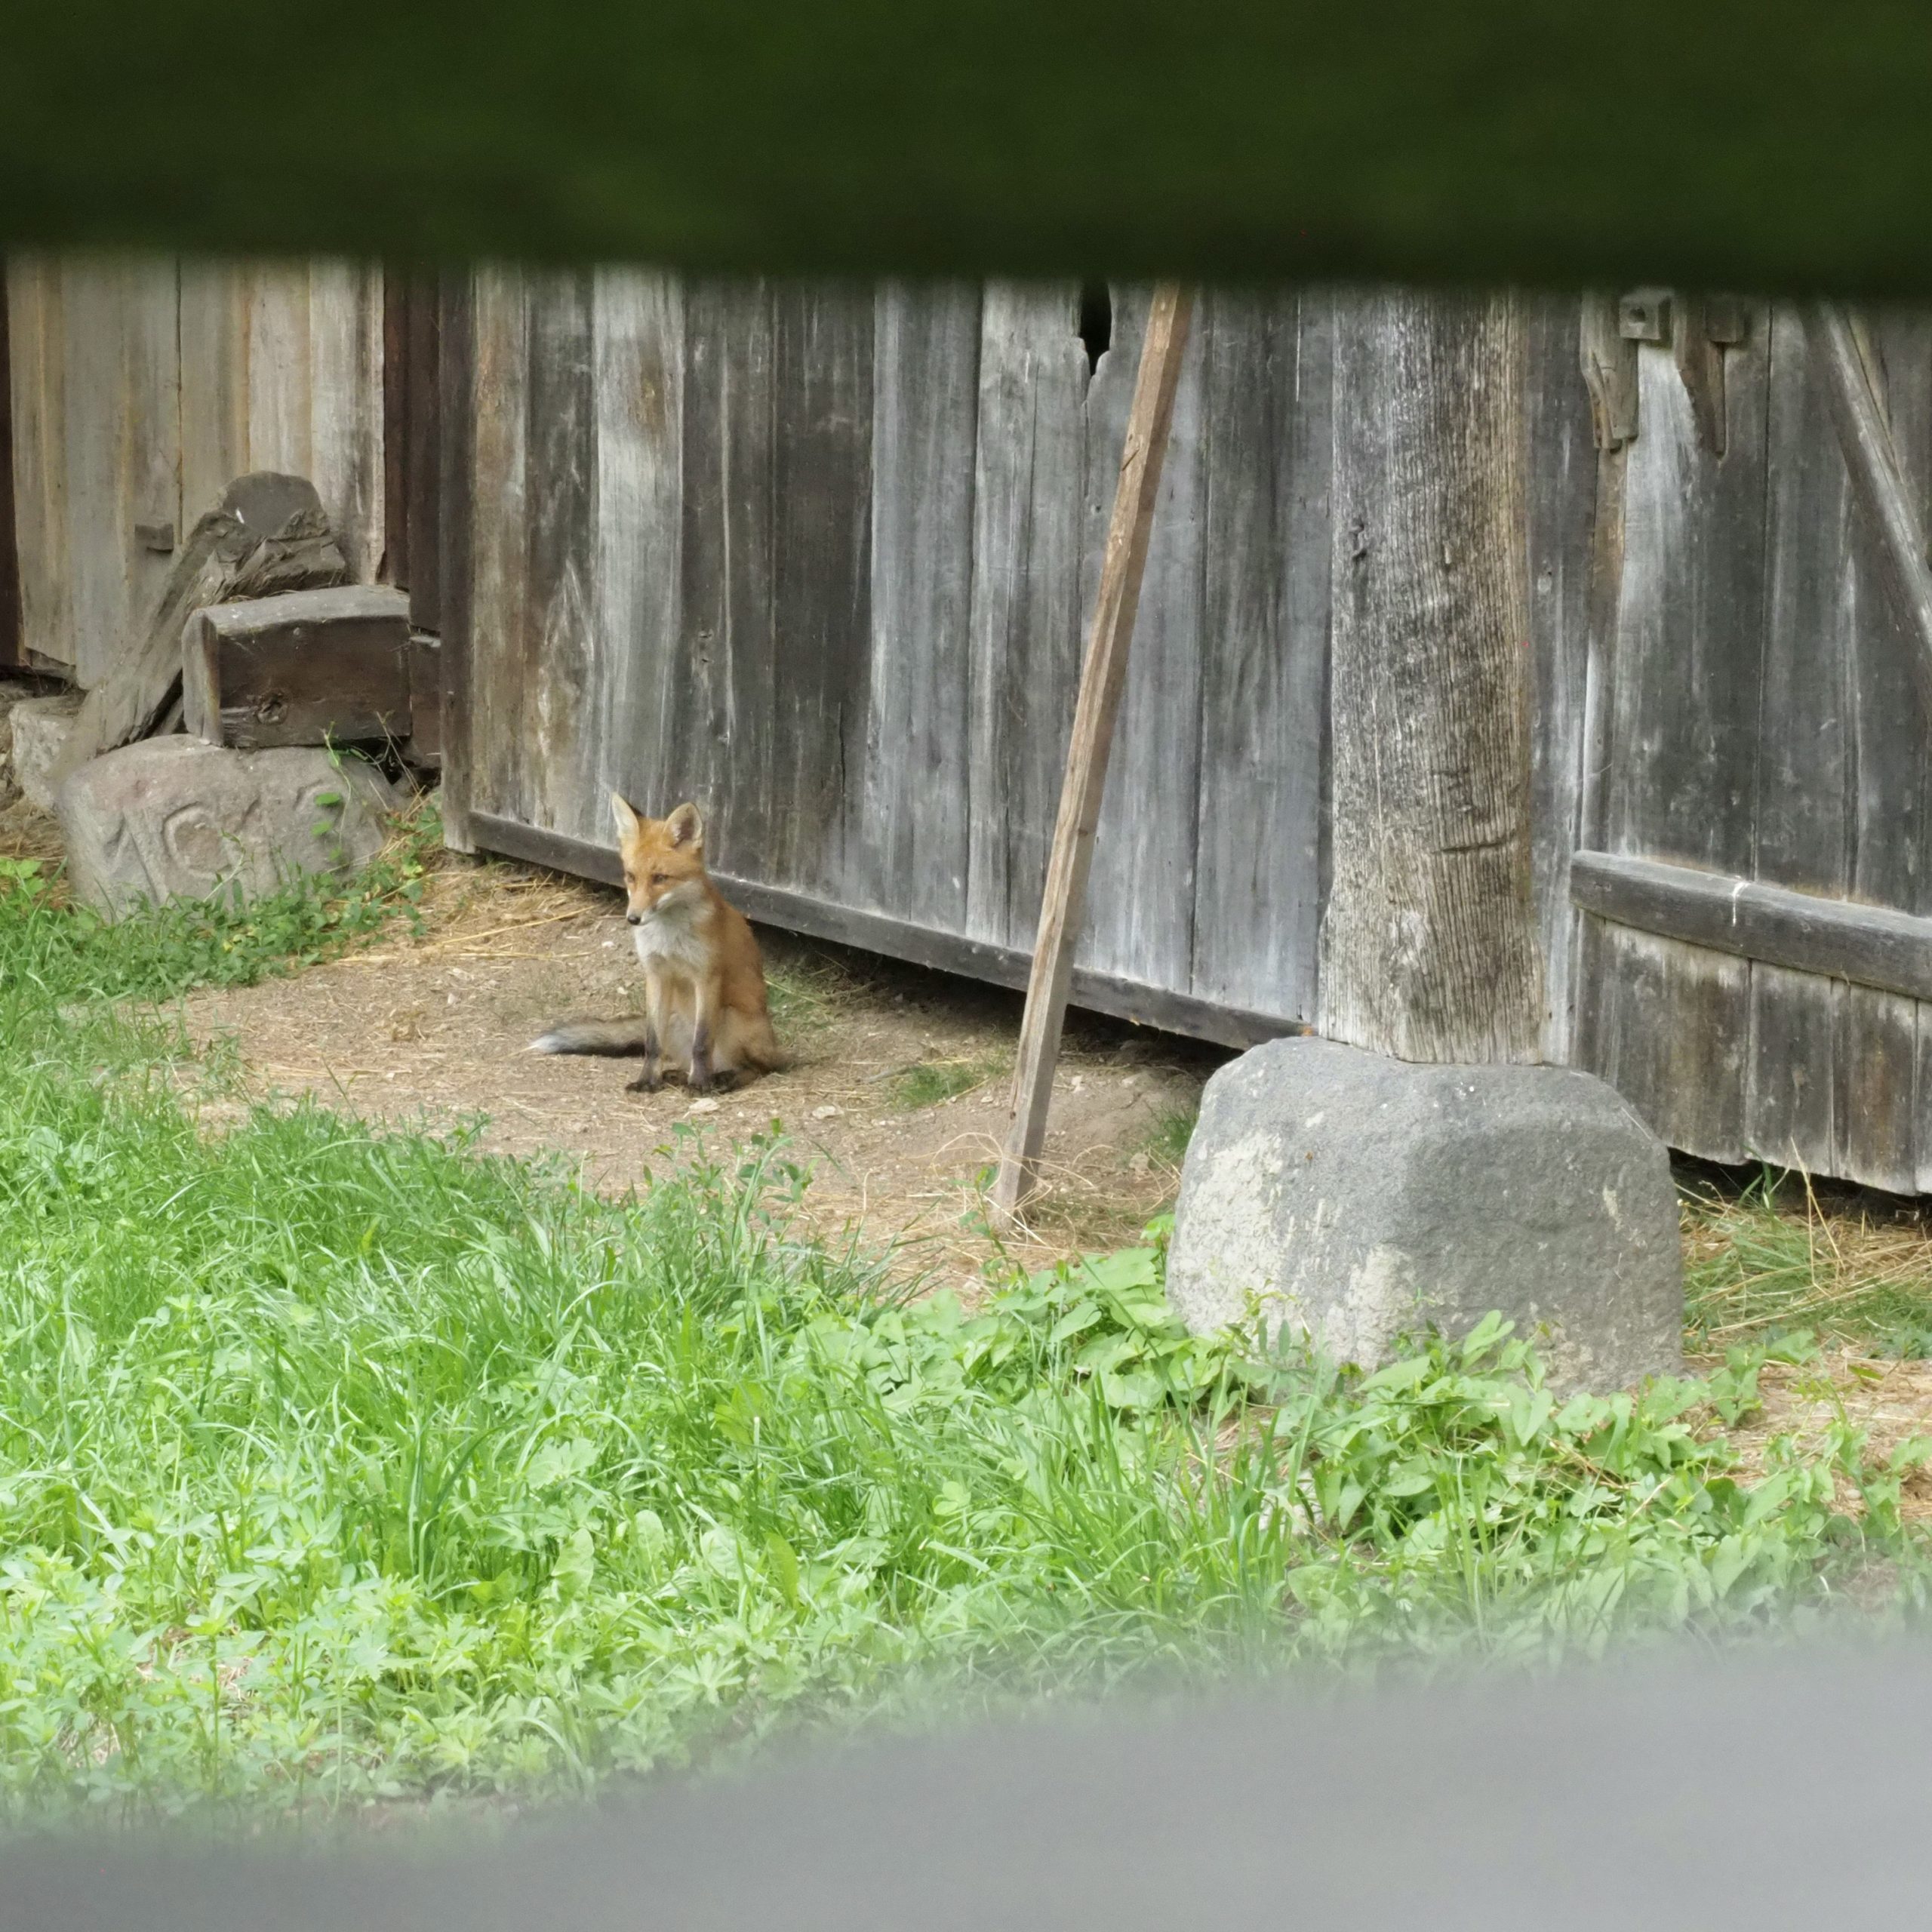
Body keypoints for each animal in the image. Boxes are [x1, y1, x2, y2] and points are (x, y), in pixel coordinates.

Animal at [529, 795, 784, 1097]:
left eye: (660, 878)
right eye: (630, 876)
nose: (633, 919)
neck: (668, 937)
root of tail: (777, 1048)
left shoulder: (707, 976)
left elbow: (702, 1043)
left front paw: (700, 1084)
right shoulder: (656, 974)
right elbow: (652, 1044)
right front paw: (648, 1081)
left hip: (732, 1021)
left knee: (758, 1069)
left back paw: (721, 1079)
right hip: (675, 1019)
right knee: (679, 1056)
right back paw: (678, 1075)